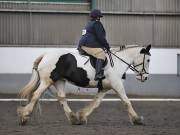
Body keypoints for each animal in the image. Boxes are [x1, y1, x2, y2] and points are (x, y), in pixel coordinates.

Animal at [17, 44, 152, 125]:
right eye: (148, 59)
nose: (145, 77)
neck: (118, 62)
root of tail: (45, 55)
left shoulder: (104, 88)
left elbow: (96, 103)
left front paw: (82, 115)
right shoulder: (117, 84)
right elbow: (126, 102)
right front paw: (137, 119)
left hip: (59, 81)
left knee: (61, 98)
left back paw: (74, 119)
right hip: (47, 81)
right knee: (36, 95)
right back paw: (24, 116)